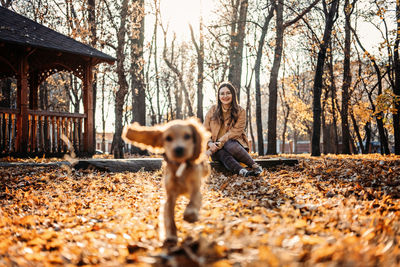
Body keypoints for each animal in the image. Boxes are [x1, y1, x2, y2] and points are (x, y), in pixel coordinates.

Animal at [122, 118, 211, 246]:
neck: (180, 166)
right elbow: (169, 218)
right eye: (168, 138)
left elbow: (194, 200)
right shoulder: (170, 196)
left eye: (187, 136)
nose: (179, 149)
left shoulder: (195, 187)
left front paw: (190, 214)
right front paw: (171, 236)